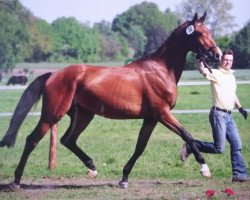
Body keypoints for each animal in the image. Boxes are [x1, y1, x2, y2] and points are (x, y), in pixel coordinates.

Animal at [0, 12, 223, 189]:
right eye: (199, 33)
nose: (217, 55)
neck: (160, 70)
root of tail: (53, 75)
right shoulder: (162, 113)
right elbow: (187, 134)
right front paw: (204, 168)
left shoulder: (151, 118)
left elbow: (140, 147)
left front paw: (124, 179)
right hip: (52, 115)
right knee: (32, 140)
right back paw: (16, 181)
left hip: (84, 115)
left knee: (67, 140)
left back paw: (92, 168)